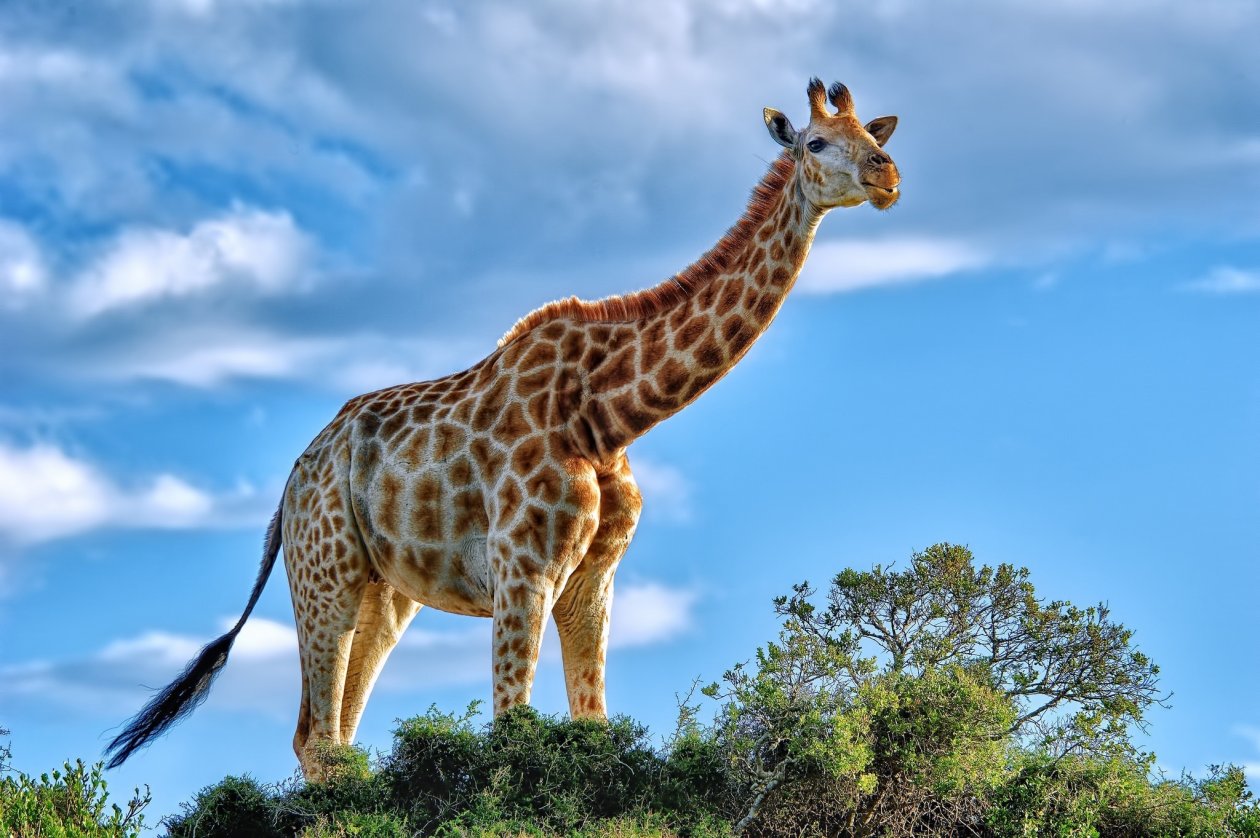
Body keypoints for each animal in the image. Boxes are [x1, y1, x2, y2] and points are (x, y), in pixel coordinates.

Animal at [105, 78, 900, 779]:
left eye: (875, 135)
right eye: (817, 142)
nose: (887, 176)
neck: (608, 416)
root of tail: (290, 482)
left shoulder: (592, 582)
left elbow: (592, 727)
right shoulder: (524, 570)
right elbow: (511, 733)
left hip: (382, 594)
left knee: (334, 739)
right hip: (322, 573)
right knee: (318, 738)